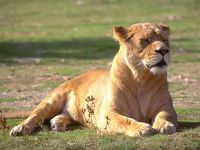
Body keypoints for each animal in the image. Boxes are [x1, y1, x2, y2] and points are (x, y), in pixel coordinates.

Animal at [9, 22, 178, 137]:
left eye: (165, 40)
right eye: (145, 41)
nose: (164, 50)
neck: (141, 78)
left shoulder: (166, 106)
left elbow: (164, 115)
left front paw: (165, 125)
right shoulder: (107, 113)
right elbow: (124, 121)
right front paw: (142, 128)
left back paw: (57, 123)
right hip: (53, 98)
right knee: (35, 115)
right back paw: (19, 129)